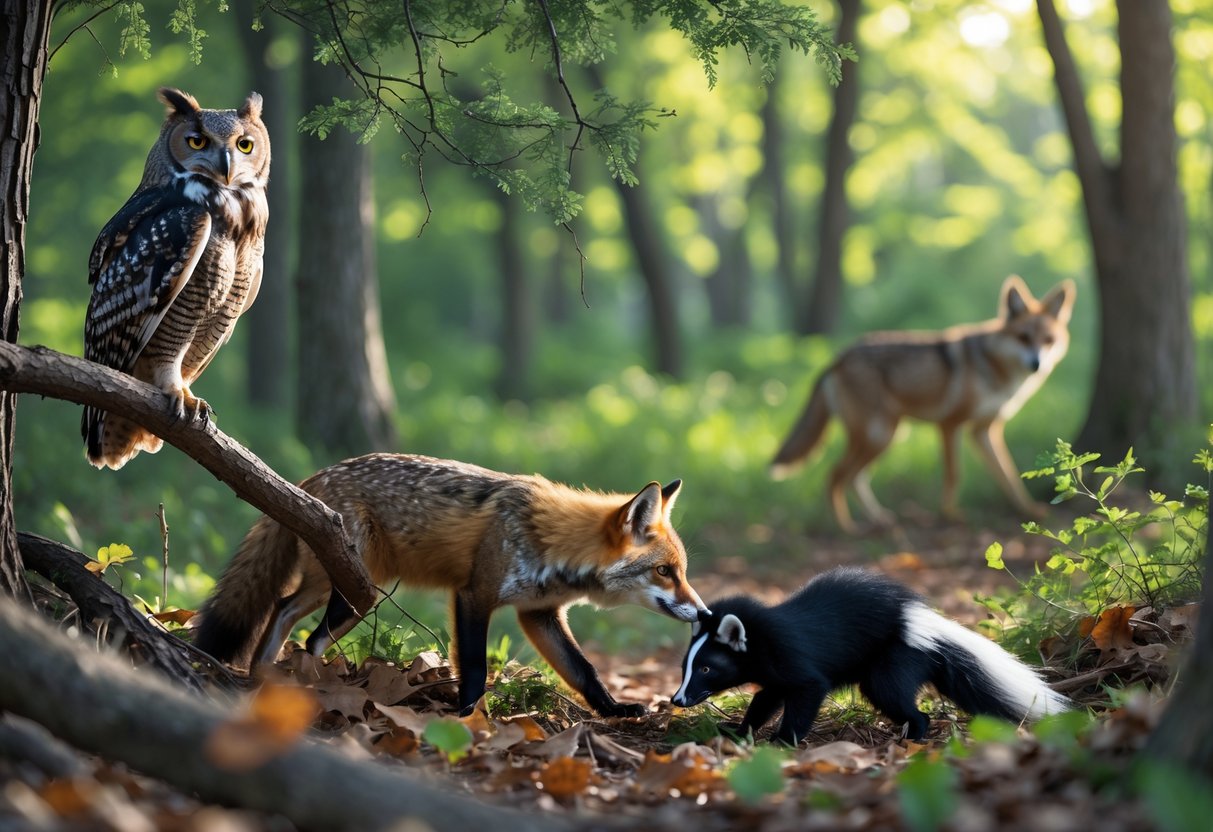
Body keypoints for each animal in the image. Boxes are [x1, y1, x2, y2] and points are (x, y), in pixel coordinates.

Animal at [194, 453, 707, 717]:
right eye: (666, 572)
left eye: (681, 571)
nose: (704, 612)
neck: (552, 543)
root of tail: (310, 478)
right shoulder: (473, 596)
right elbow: (475, 668)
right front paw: (469, 718)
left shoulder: (538, 613)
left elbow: (585, 672)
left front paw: (615, 710)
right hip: (355, 594)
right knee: (307, 632)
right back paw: (305, 683)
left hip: (337, 590)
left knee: (282, 609)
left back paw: (265, 675)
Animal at [671, 568, 1071, 744]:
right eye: (685, 666)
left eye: (706, 667)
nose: (677, 699)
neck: (761, 636)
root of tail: (916, 619)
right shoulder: (775, 673)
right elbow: (765, 699)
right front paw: (741, 731)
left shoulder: (794, 659)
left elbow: (807, 692)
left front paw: (784, 740)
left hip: (893, 657)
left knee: (893, 695)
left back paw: (914, 734)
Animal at [770, 275, 1076, 532]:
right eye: (1023, 337)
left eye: (1048, 340)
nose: (1036, 364)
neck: (995, 370)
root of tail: (838, 357)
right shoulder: (950, 425)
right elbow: (954, 475)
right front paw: (950, 515)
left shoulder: (985, 431)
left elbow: (1009, 476)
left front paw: (1027, 510)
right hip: (879, 436)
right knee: (835, 476)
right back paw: (847, 528)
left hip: (887, 437)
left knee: (855, 479)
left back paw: (878, 519)